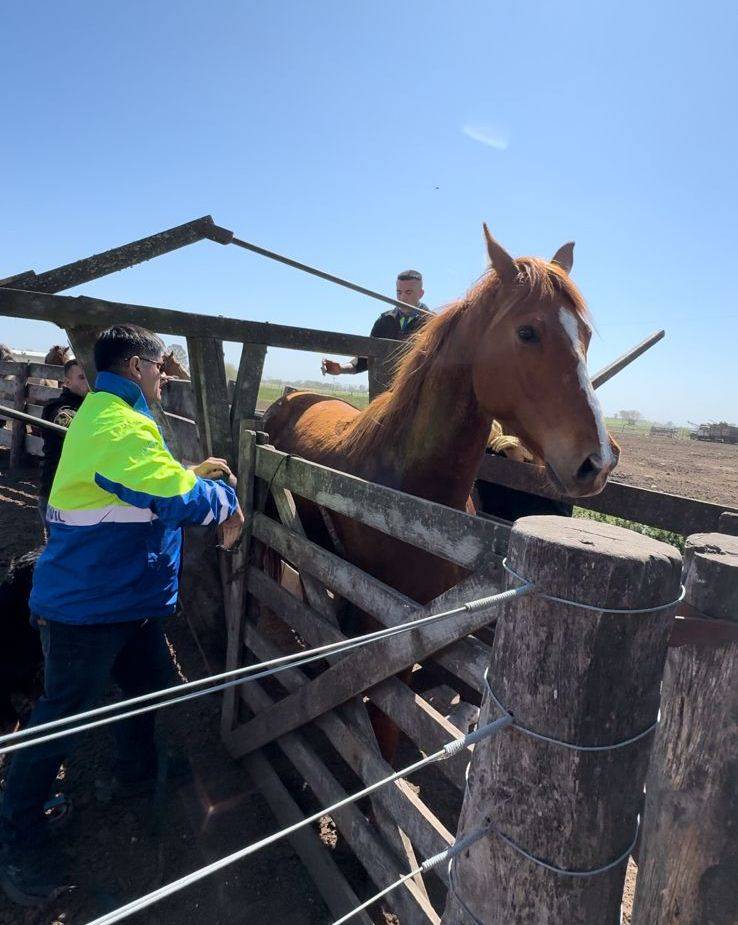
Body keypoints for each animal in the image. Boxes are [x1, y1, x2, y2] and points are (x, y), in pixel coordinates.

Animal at [262, 224, 620, 756]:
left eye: (587, 336)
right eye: (527, 332)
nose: (599, 459)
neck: (414, 501)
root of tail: (290, 397)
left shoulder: (433, 629)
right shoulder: (383, 632)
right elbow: (384, 724)